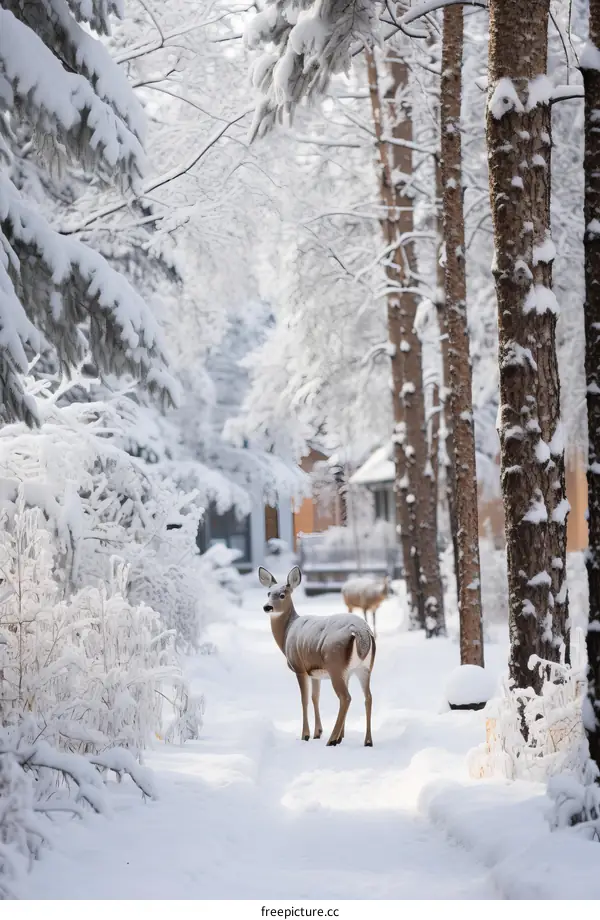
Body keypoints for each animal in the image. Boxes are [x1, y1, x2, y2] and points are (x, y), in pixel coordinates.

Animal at [258, 565, 376, 747]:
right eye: (268, 593)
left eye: (283, 594)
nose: (267, 607)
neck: (287, 633)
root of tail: (361, 632)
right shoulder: (316, 673)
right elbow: (315, 697)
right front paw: (318, 733)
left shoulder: (299, 667)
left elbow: (304, 699)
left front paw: (305, 735)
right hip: (362, 668)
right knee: (368, 697)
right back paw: (366, 740)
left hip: (335, 663)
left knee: (346, 697)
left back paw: (332, 740)